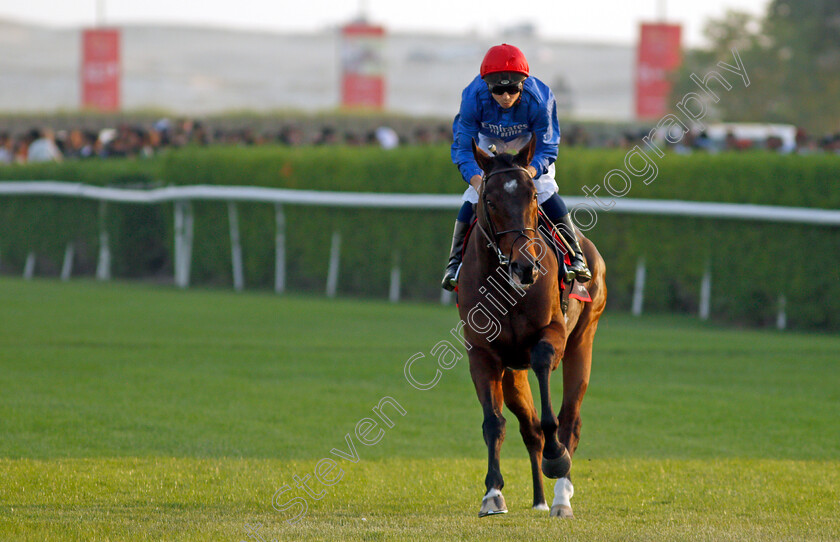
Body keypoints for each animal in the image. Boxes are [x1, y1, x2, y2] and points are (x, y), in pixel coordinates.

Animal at [456, 136, 608, 520]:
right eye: (490, 200)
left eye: (533, 198)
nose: (526, 267)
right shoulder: (483, 353)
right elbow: (494, 422)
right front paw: (492, 493)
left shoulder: (552, 334)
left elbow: (545, 378)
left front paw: (556, 458)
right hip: (513, 373)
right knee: (529, 428)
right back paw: (540, 498)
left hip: (583, 338)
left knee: (570, 419)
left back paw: (560, 498)